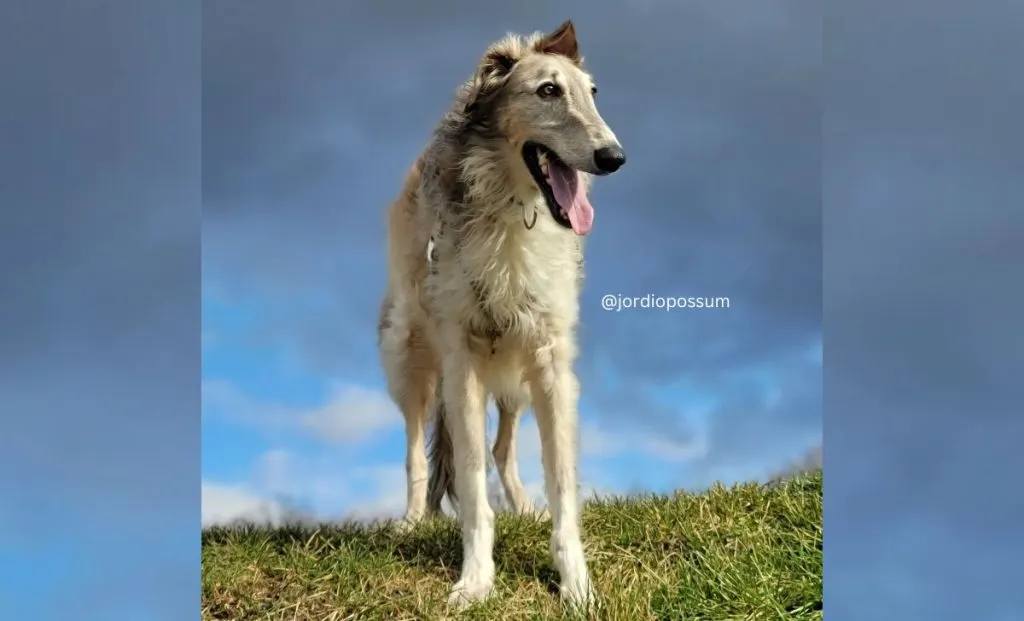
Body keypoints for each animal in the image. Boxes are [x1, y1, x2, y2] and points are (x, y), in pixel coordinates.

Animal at [378, 20, 622, 614]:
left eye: (593, 93)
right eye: (547, 90)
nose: (615, 156)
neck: (512, 210)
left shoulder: (550, 359)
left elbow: (562, 485)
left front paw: (576, 586)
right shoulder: (462, 359)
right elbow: (469, 488)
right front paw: (475, 582)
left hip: (513, 371)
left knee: (502, 447)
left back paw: (525, 508)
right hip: (410, 353)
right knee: (419, 454)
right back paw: (411, 521)